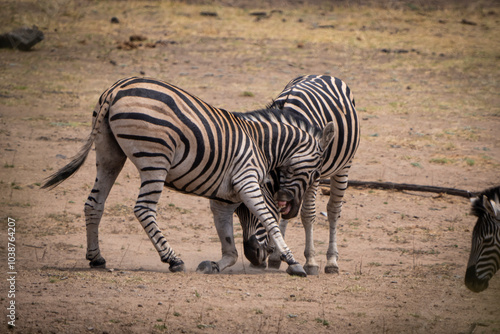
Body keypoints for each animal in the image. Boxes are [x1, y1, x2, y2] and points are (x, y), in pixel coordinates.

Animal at [41, 76, 334, 276]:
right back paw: (172, 259)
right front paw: (293, 261)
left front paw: (217, 263)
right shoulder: (247, 180)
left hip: (108, 153)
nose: (254, 258)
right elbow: (268, 220)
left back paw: (96, 257)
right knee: (143, 209)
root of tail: (116, 89)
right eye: (315, 171)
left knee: (94, 203)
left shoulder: (223, 198)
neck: (263, 145)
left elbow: (227, 238)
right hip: (155, 158)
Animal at [209, 73, 362, 274]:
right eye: (236, 213)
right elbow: (282, 211)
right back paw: (276, 257)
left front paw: (311, 261)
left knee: (333, 209)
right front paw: (275, 254)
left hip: (345, 166)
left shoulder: (314, 174)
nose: (252, 256)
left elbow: (308, 213)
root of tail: (322, 74)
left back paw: (331, 261)